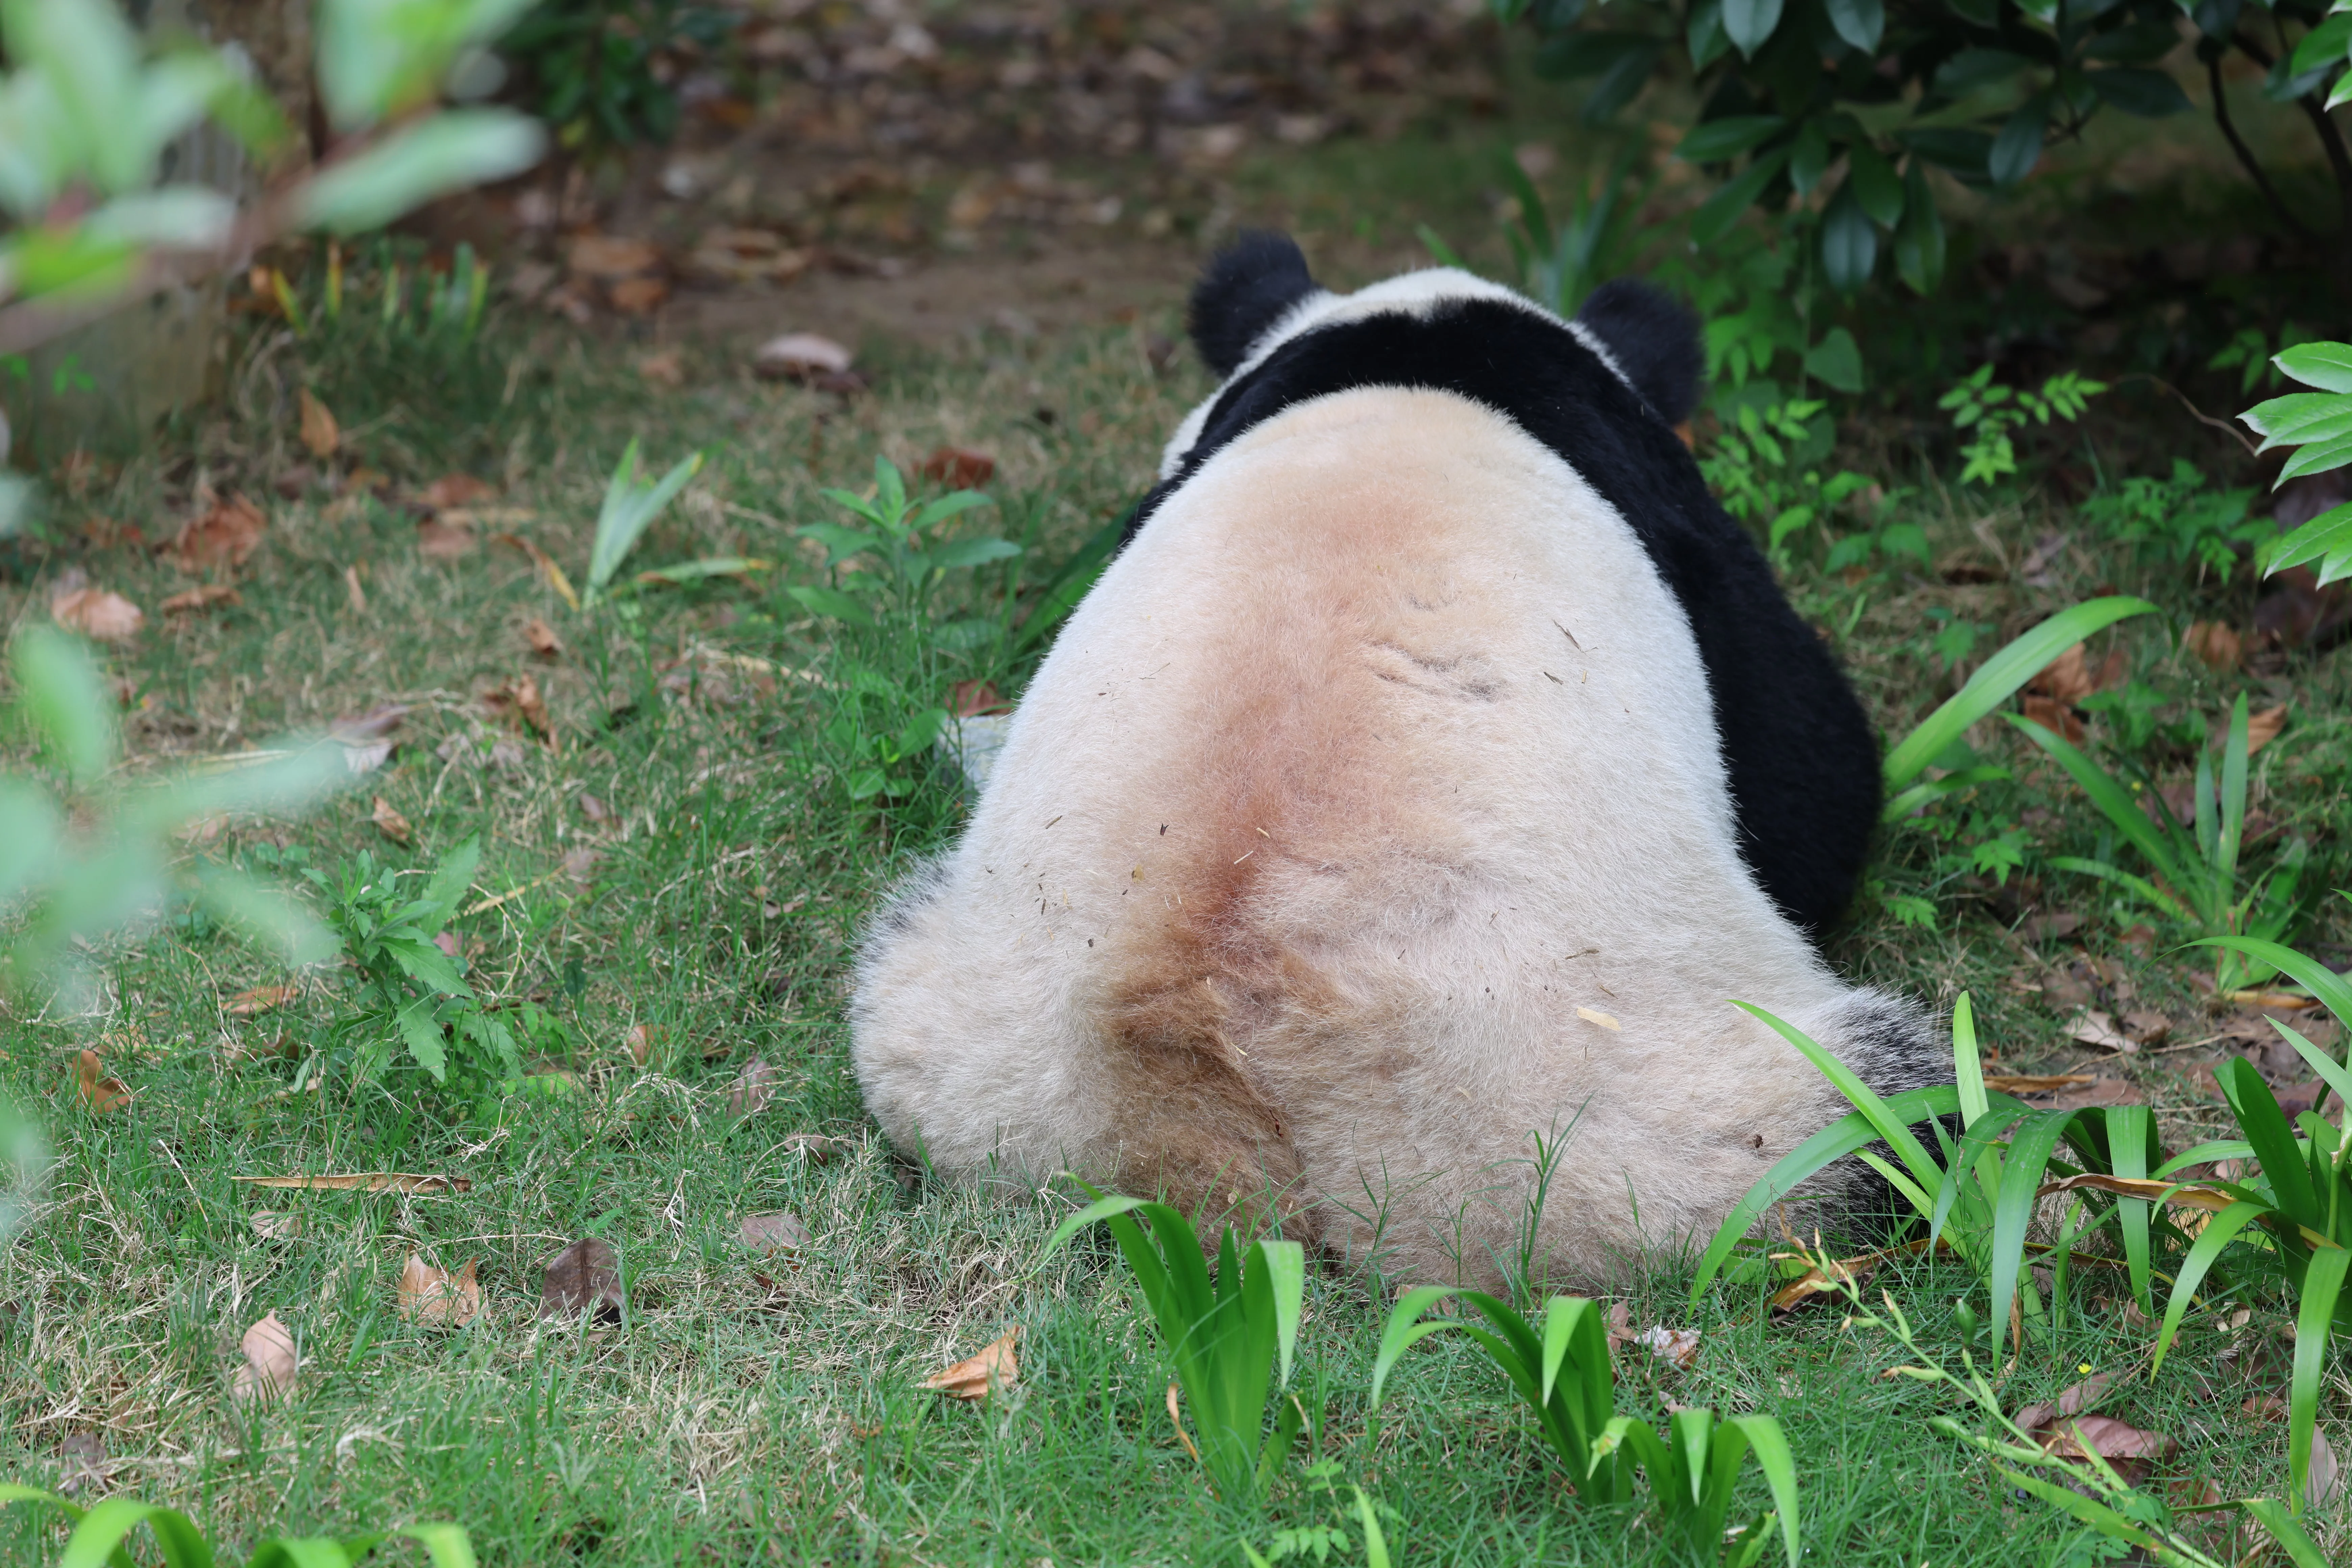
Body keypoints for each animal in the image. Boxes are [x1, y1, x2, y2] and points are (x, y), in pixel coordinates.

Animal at [851, 233, 1941, 1291]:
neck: (1415, 358)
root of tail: (1211, 1070)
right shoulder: (1680, 526)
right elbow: (1813, 765)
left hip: (968, 1035)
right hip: (1631, 1120)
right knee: (1884, 1113)